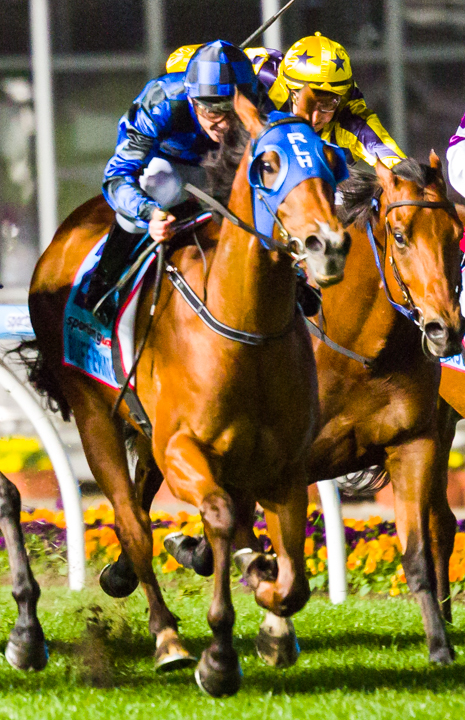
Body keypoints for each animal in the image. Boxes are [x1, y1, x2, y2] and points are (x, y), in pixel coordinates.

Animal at [23, 93, 351, 697]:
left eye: (332, 161)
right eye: (268, 165)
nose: (328, 245)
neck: (244, 327)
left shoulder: (283, 463)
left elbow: (290, 574)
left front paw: (272, 615)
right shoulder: (184, 449)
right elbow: (218, 517)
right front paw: (218, 655)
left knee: (148, 500)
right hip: (94, 414)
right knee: (132, 522)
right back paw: (167, 637)